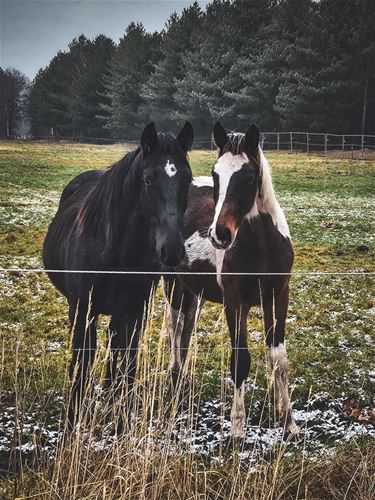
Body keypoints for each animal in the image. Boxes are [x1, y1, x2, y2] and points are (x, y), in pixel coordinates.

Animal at [44, 122, 194, 430]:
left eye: (188, 179)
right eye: (148, 179)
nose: (172, 250)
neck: (113, 252)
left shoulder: (135, 311)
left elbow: (127, 362)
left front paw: (120, 418)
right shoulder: (82, 310)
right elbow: (82, 362)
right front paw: (73, 421)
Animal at [167, 122, 300, 438]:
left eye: (249, 176)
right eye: (216, 174)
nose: (219, 234)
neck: (263, 246)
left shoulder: (278, 296)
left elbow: (278, 358)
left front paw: (288, 421)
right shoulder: (234, 302)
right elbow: (240, 360)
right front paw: (238, 428)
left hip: (193, 290)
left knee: (185, 327)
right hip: (173, 282)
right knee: (174, 326)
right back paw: (175, 376)